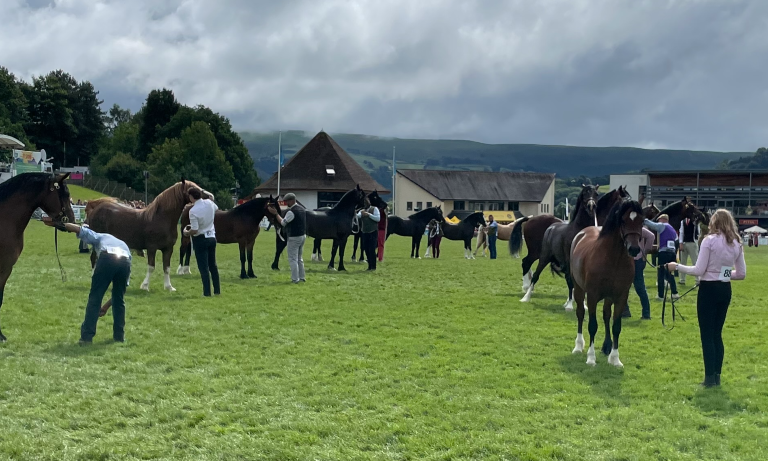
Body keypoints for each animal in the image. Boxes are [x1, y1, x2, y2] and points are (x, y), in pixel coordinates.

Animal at [568, 199, 644, 368]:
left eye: (642, 221)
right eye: (623, 221)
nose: (634, 249)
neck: (613, 259)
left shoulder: (621, 297)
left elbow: (616, 326)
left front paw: (615, 359)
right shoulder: (592, 296)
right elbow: (592, 325)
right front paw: (591, 358)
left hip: (609, 298)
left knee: (606, 315)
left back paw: (607, 347)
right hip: (578, 289)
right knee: (580, 314)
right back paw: (578, 346)